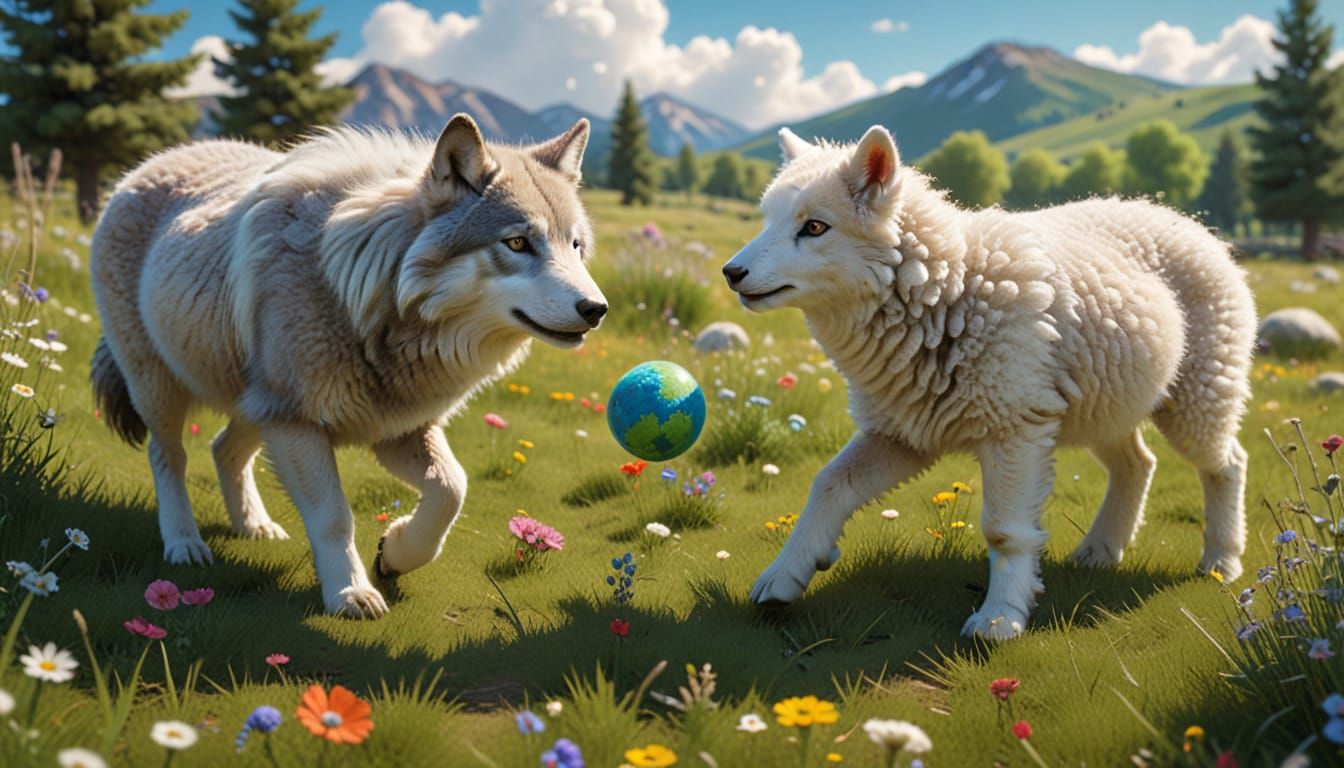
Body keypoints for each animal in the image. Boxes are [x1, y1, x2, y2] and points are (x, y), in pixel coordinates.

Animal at [90, 114, 606, 618]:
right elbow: (335, 516)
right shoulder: (296, 423)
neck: (367, 297)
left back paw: (255, 526)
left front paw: (395, 553)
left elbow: (451, 491)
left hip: (254, 406)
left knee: (223, 450)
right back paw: (184, 543)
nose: (596, 309)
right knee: (169, 457)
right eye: (517, 242)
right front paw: (350, 592)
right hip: (164, 389)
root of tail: (150, 163)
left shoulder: (399, 428)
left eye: (575, 246)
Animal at [722, 126, 1255, 640]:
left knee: (1227, 462)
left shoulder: (1013, 427)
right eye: (767, 219)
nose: (732, 272)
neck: (947, 289)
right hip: (1107, 400)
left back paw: (1221, 561)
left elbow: (1003, 531)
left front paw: (999, 621)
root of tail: (1187, 221)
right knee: (1137, 465)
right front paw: (785, 575)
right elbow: (830, 484)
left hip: (1202, 390)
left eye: (814, 227)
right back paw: (1101, 550)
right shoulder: (901, 431)